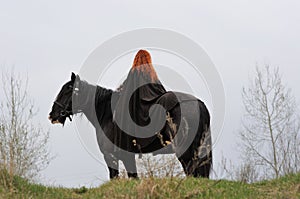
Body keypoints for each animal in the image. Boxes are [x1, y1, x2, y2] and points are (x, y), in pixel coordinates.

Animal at [49, 73, 212, 179]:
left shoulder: (111, 156)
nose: (52, 115)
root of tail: (198, 104)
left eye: (68, 90)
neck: (108, 114)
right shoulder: (127, 157)